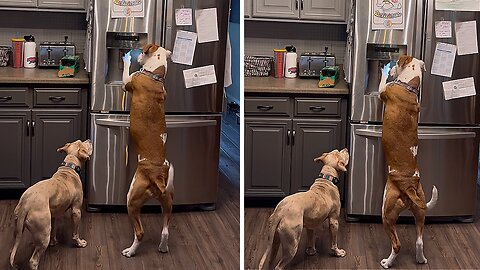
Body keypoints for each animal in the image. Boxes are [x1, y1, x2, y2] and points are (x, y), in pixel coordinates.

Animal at [9, 140, 93, 268]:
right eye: (82, 144)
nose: (89, 140)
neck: (69, 167)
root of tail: (26, 204)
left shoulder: (54, 214)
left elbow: (54, 228)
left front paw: (54, 242)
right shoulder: (76, 211)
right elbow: (75, 232)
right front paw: (79, 243)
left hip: (18, 227)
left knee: (14, 247)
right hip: (43, 234)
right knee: (33, 260)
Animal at [121, 43, 175, 258]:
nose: (135, 52)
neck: (155, 75)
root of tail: (157, 176)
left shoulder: (128, 82)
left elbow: (125, 74)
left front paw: (127, 58)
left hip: (132, 200)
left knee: (140, 232)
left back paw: (130, 251)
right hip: (167, 200)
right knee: (166, 230)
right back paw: (163, 247)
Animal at [378, 54, 438, 268]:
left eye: (396, 62)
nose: (391, 64)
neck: (409, 86)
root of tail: (409, 186)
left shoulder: (383, 92)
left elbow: (382, 84)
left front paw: (384, 70)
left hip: (387, 212)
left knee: (397, 244)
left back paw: (387, 262)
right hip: (420, 213)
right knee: (419, 241)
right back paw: (420, 259)